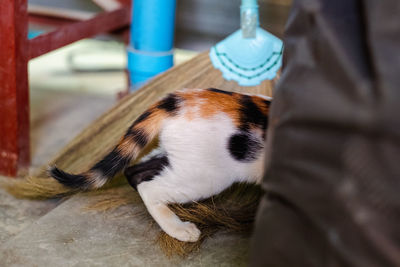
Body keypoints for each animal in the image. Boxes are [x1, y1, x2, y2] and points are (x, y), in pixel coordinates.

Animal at [48, 88, 270, 243]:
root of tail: (177, 101)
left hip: (177, 157)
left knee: (134, 171)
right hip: (206, 176)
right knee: (150, 188)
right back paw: (179, 230)